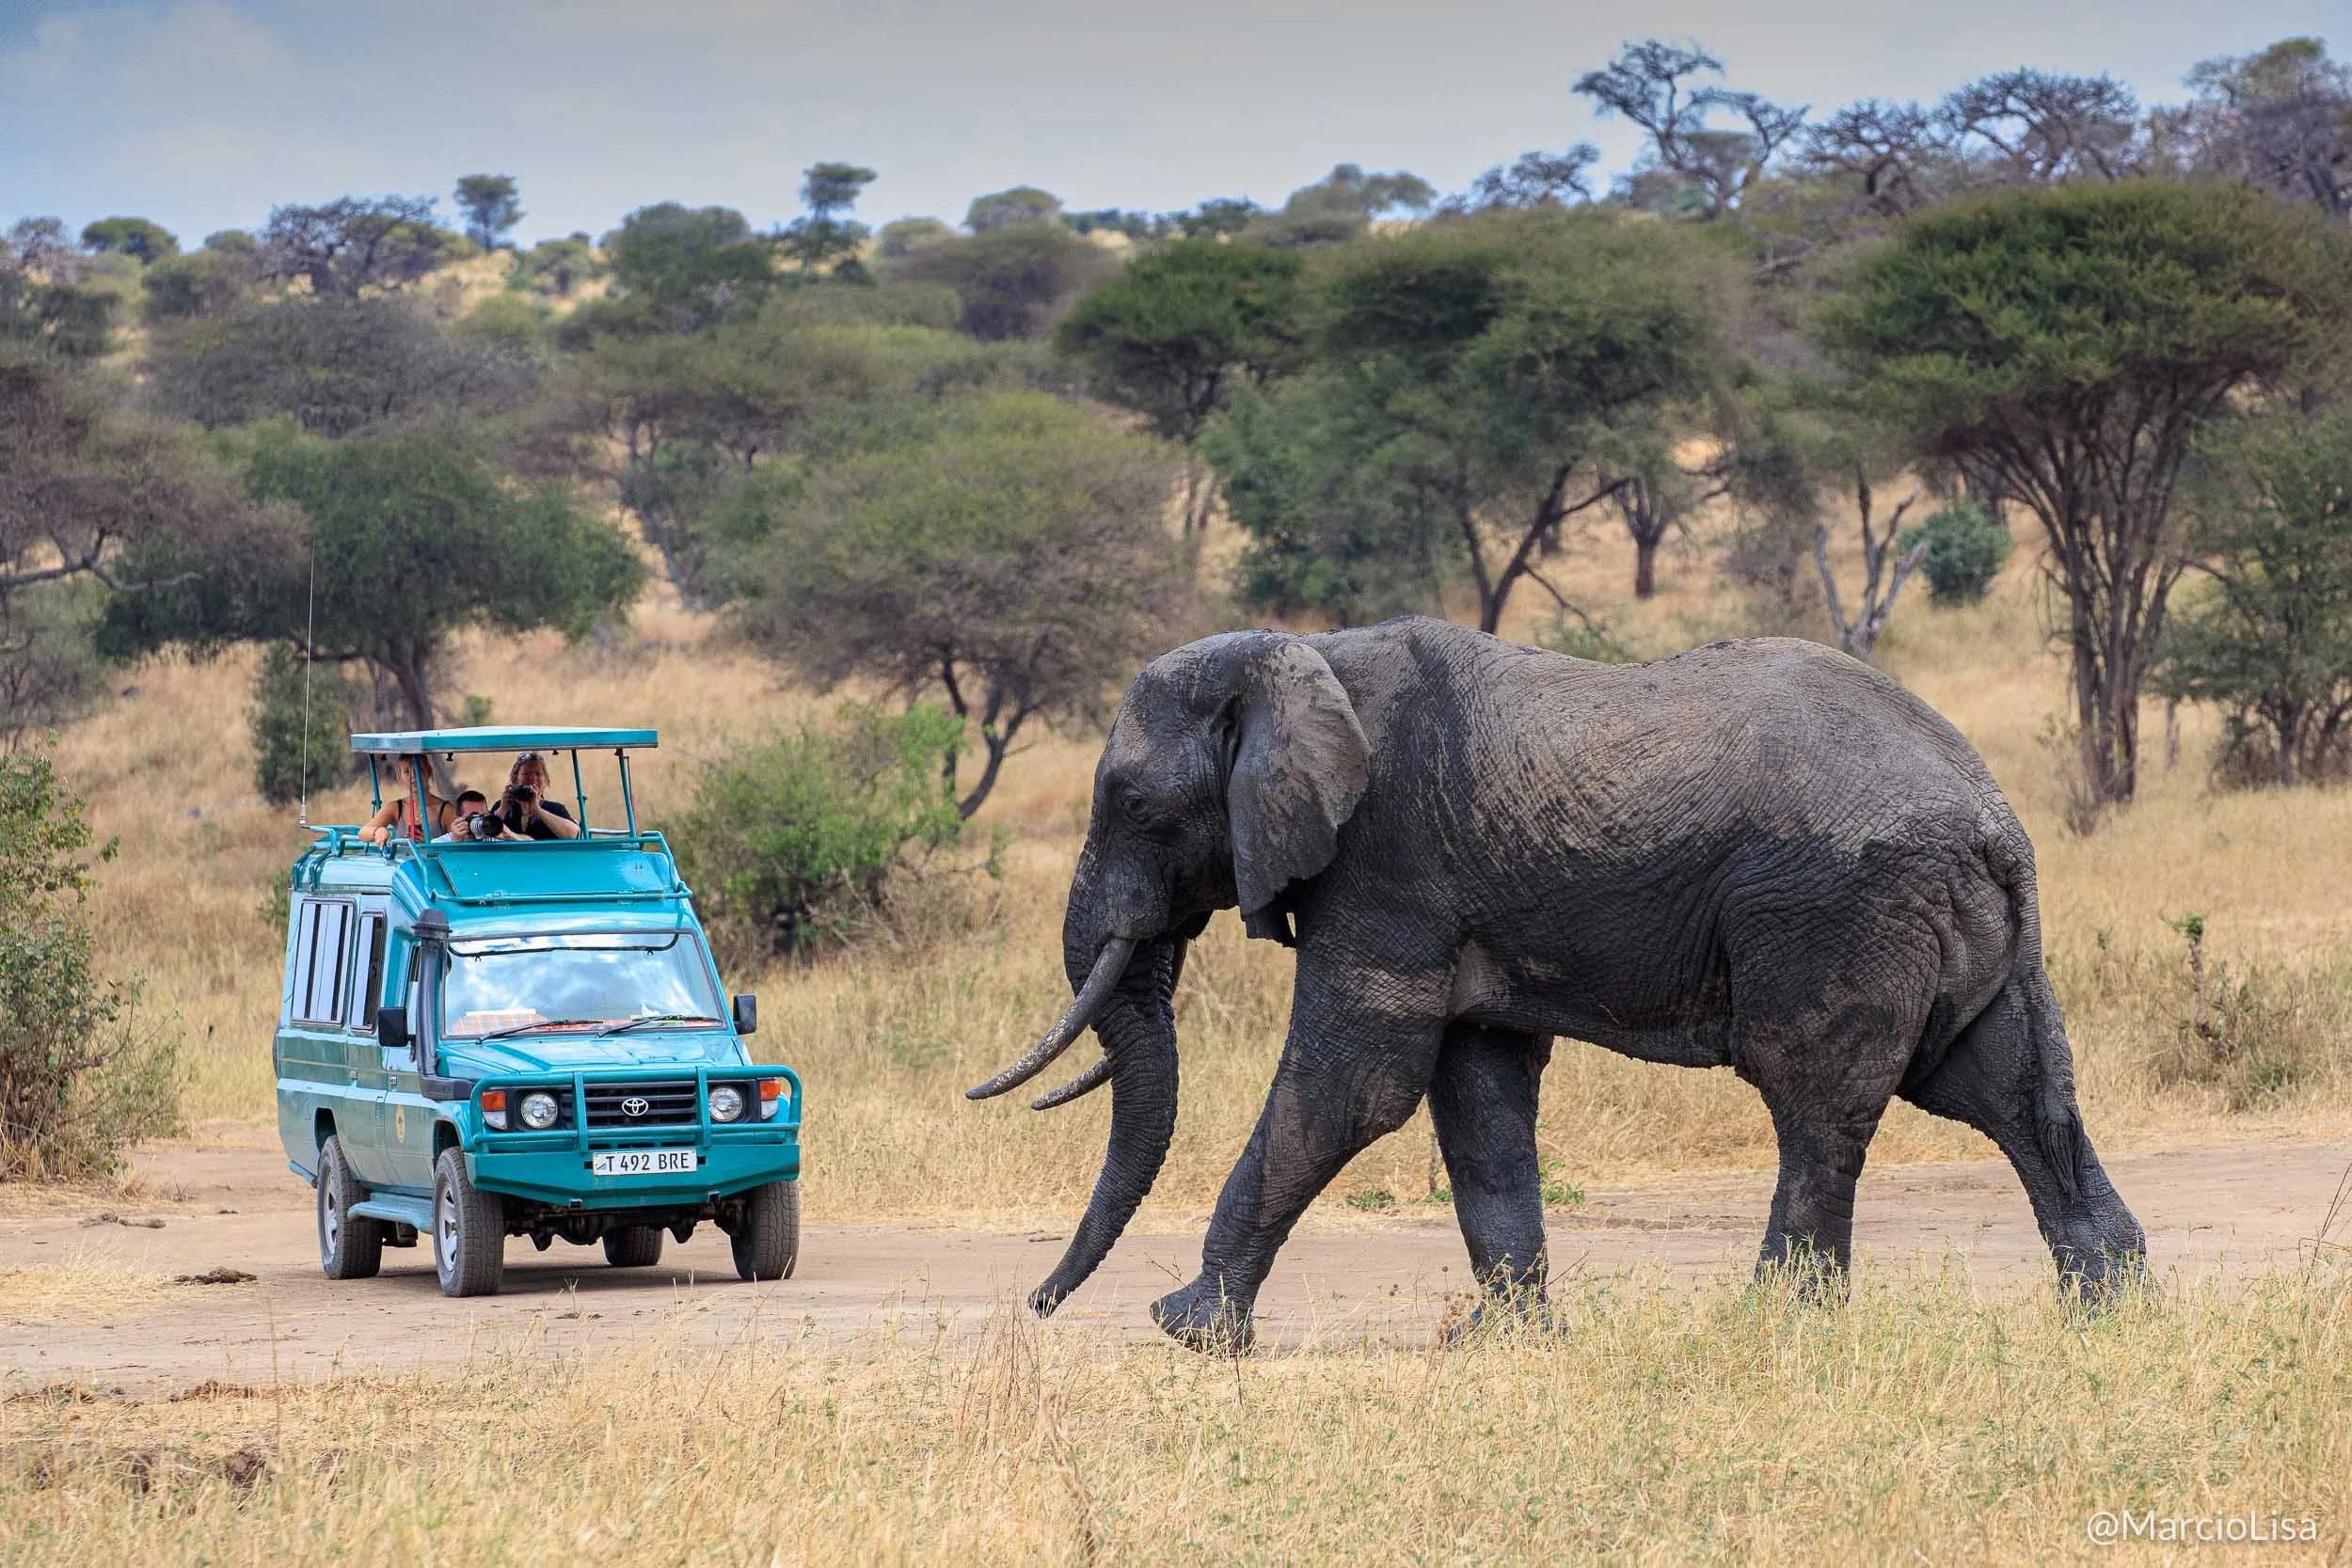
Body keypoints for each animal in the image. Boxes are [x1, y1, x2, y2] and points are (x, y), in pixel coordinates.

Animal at [968, 616, 2145, 1352]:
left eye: (1133, 803)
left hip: (1837, 907)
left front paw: (1186, 1330)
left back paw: (1776, 1327)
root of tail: (1995, 820)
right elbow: (1477, 1094)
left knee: (1816, 1102)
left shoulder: (1386, 861)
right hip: (1960, 927)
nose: (1035, 1304)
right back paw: (2111, 1309)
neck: (1300, 657)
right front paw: (1510, 1340)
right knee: (2013, 1090)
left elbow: (1355, 1085)